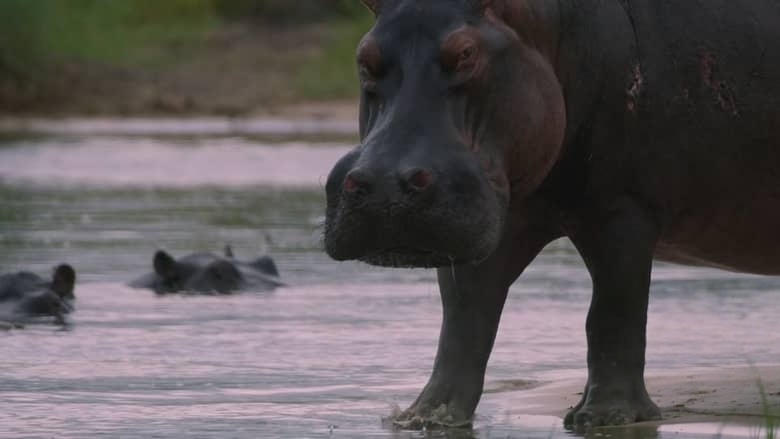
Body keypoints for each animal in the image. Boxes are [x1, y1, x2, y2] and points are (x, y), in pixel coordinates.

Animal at [323, 0, 780, 431]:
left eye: (466, 52)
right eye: (364, 57)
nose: (385, 186)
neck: (545, 27)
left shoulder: (623, 207)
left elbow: (614, 312)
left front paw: (605, 418)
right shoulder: (490, 216)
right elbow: (464, 319)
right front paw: (425, 418)